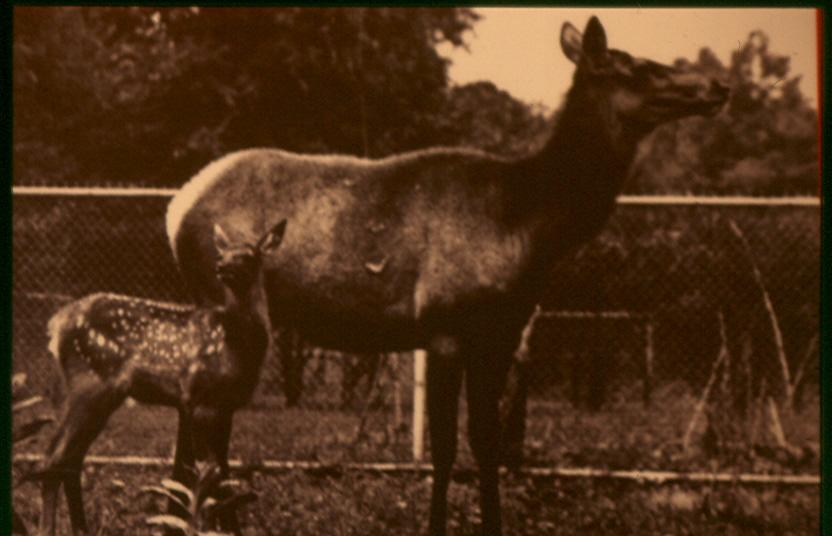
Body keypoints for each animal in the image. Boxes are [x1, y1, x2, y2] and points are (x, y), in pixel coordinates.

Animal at [36, 219, 287, 536]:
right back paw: (49, 529)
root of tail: (56, 325)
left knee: (71, 461)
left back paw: (81, 528)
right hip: (90, 386)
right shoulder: (199, 398)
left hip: (96, 395)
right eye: (224, 252)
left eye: (249, 255)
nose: (221, 266)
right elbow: (211, 476)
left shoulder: (226, 406)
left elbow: (222, 472)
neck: (236, 344)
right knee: (54, 458)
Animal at [165, 16, 729, 535]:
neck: (530, 222)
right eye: (635, 66)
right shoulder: (444, 328)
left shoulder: (499, 335)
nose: (717, 87)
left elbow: (487, 442)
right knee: (203, 421)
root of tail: (176, 209)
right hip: (224, 302)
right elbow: (444, 449)